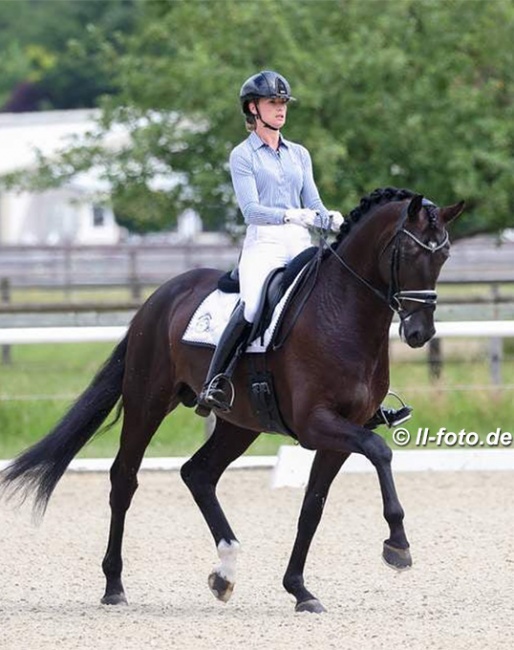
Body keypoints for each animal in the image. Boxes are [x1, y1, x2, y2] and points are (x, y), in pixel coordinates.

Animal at [0, 187, 464, 614]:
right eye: (409, 250)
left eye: (444, 255)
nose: (419, 333)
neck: (343, 314)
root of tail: (159, 297)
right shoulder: (317, 424)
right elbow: (379, 450)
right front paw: (397, 543)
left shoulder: (340, 433)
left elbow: (312, 507)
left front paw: (300, 590)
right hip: (148, 402)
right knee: (124, 479)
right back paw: (114, 585)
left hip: (239, 424)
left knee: (198, 473)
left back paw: (224, 573)